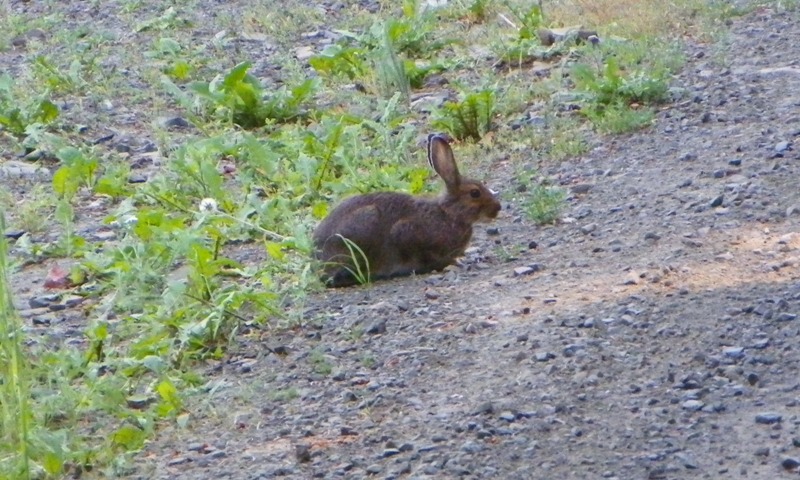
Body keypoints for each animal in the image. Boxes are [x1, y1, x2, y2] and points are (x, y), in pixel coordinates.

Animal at [312, 133, 500, 286]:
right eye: (475, 193)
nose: (498, 208)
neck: (448, 214)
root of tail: (317, 255)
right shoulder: (406, 233)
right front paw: (451, 263)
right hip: (363, 226)